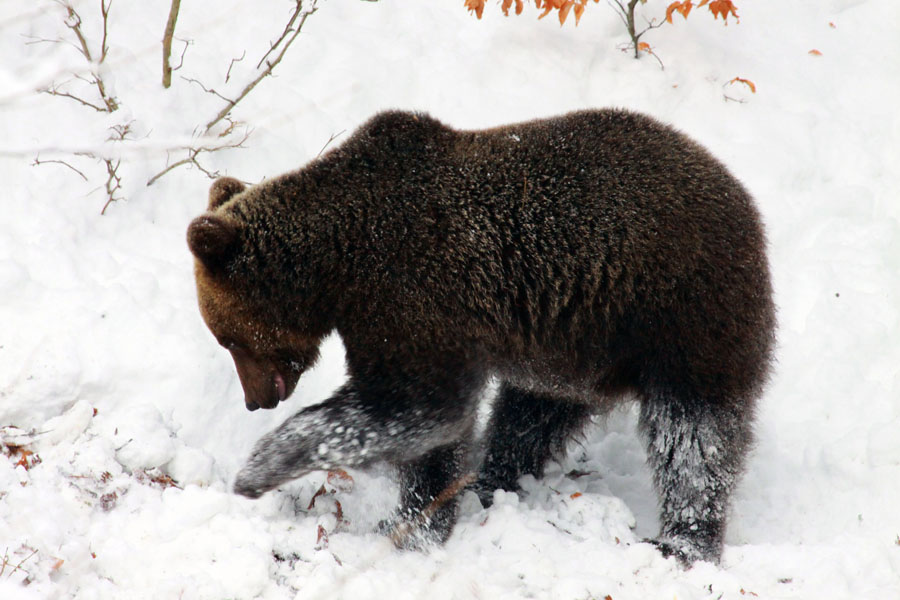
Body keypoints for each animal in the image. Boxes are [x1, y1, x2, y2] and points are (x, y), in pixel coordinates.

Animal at [185, 110, 772, 564]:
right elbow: (435, 433)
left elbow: (414, 408)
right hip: (571, 350)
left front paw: (261, 467)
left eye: (228, 340)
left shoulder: (413, 296)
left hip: (680, 318)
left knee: (694, 437)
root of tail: (745, 202)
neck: (339, 265)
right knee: (529, 419)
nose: (255, 400)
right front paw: (423, 517)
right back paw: (491, 481)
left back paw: (683, 542)